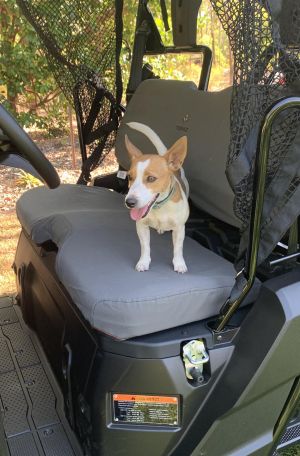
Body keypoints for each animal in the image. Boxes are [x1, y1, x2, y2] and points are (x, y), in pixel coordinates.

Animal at [124, 123, 190, 272]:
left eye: (151, 178)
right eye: (129, 177)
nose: (129, 202)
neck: (160, 207)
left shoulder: (179, 228)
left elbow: (178, 248)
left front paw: (179, 263)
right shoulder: (141, 225)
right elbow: (145, 246)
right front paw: (144, 261)